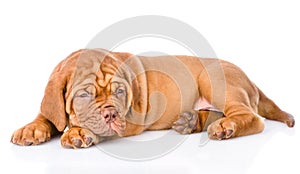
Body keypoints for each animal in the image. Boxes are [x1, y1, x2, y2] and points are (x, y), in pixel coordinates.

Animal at [10, 48, 294, 148]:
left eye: (120, 92)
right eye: (84, 94)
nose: (111, 113)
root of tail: (251, 80)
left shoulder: (129, 122)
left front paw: (78, 132)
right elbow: (48, 114)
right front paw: (31, 129)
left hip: (213, 77)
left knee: (251, 118)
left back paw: (226, 127)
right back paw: (191, 121)